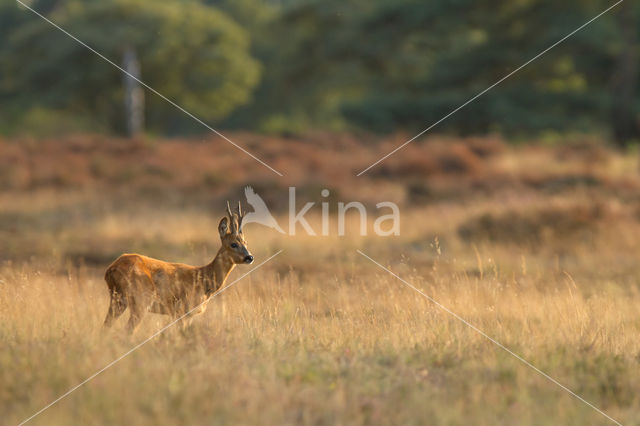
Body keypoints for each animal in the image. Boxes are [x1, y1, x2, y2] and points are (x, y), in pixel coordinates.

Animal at [103, 201, 252, 334]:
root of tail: (111, 269)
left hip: (118, 299)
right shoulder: (183, 310)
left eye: (245, 242)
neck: (204, 278)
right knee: (128, 330)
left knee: (106, 327)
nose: (249, 257)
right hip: (141, 300)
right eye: (233, 244)